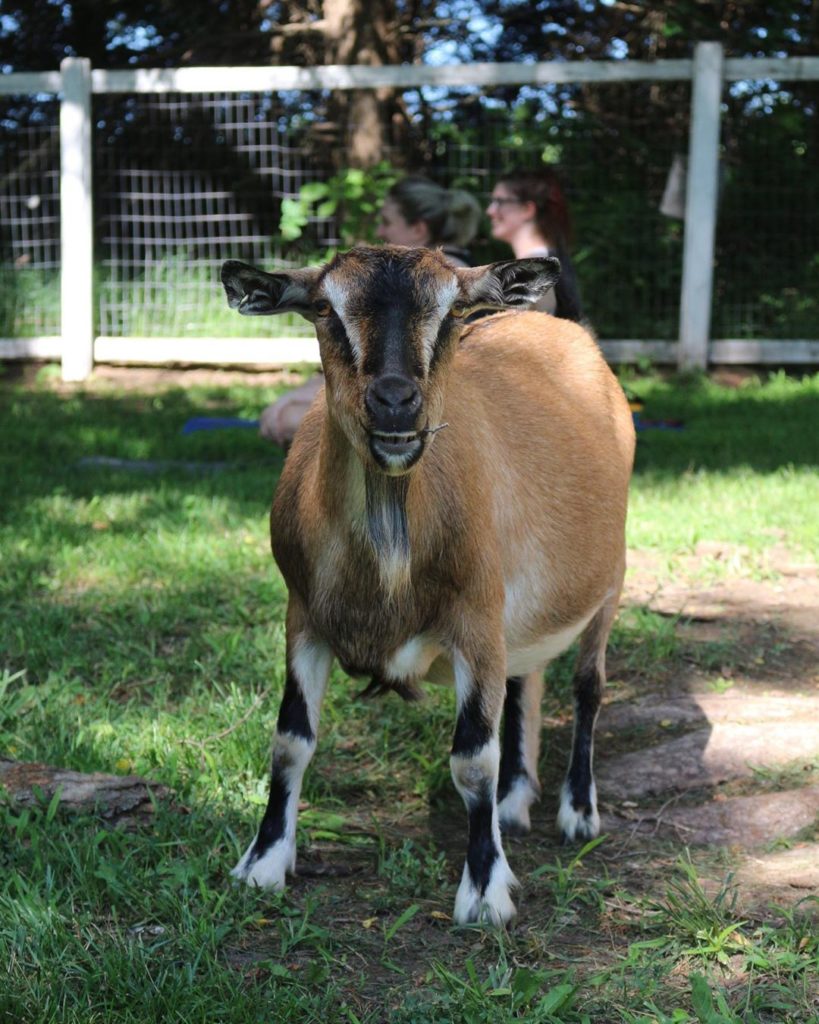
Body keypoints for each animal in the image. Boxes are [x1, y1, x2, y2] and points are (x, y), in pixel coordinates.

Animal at [221, 245, 635, 925]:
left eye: (453, 314)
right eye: (325, 310)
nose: (395, 401)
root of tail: (568, 327)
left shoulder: (476, 620)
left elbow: (472, 759)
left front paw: (486, 891)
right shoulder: (302, 616)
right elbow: (290, 741)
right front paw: (263, 863)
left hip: (610, 579)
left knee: (587, 685)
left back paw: (578, 811)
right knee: (526, 679)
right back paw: (515, 801)